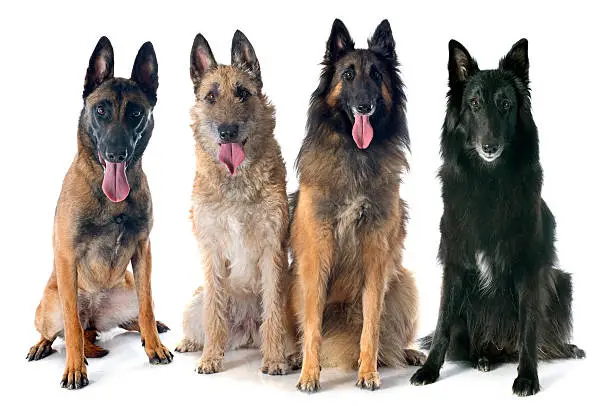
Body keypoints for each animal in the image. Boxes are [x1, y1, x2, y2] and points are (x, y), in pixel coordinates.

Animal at [26, 38, 172, 390]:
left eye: (136, 113)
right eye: (101, 110)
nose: (116, 153)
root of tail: (94, 315)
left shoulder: (143, 250)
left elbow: (147, 305)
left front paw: (155, 346)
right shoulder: (67, 257)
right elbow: (71, 328)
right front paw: (75, 368)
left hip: (129, 290)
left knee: (135, 316)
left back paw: (150, 333)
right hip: (49, 306)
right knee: (64, 329)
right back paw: (43, 345)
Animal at [175, 30, 292, 376]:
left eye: (243, 93)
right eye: (211, 97)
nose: (227, 131)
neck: (236, 181)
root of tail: (248, 330)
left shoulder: (272, 249)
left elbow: (274, 313)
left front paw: (275, 359)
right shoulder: (211, 251)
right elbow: (214, 314)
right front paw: (211, 358)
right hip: (196, 300)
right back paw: (193, 344)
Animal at [288, 19, 424, 394]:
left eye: (376, 76)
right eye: (348, 75)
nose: (364, 107)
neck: (355, 154)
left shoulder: (376, 257)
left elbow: (372, 324)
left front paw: (368, 372)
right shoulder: (316, 254)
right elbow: (312, 326)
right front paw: (309, 373)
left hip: (404, 282)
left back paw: (405, 353)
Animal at [408, 38, 584, 396]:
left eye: (505, 105)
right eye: (474, 104)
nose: (489, 146)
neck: (488, 182)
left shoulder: (529, 268)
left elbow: (529, 326)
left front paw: (528, 377)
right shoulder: (455, 262)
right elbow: (443, 322)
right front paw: (430, 370)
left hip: (562, 282)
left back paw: (562, 349)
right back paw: (483, 357)